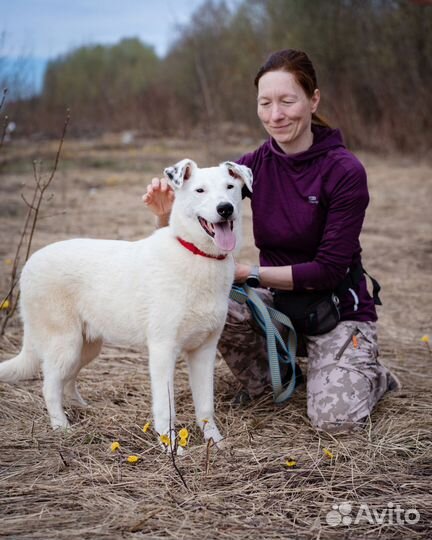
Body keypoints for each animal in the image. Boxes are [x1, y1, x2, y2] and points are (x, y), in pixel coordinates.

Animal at [0, 158, 251, 450]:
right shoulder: (163, 351)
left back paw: (82, 408)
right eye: (200, 190)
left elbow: (205, 406)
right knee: (50, 387)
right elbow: (165, 408)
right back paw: (62, 427)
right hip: (65, 344)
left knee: (67, 380)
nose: (225, 209)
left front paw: (214, 442)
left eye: (230, 187)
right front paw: (171, 447)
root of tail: (29, 263)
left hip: (87, 347)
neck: (198, 255)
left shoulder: (204, 351)